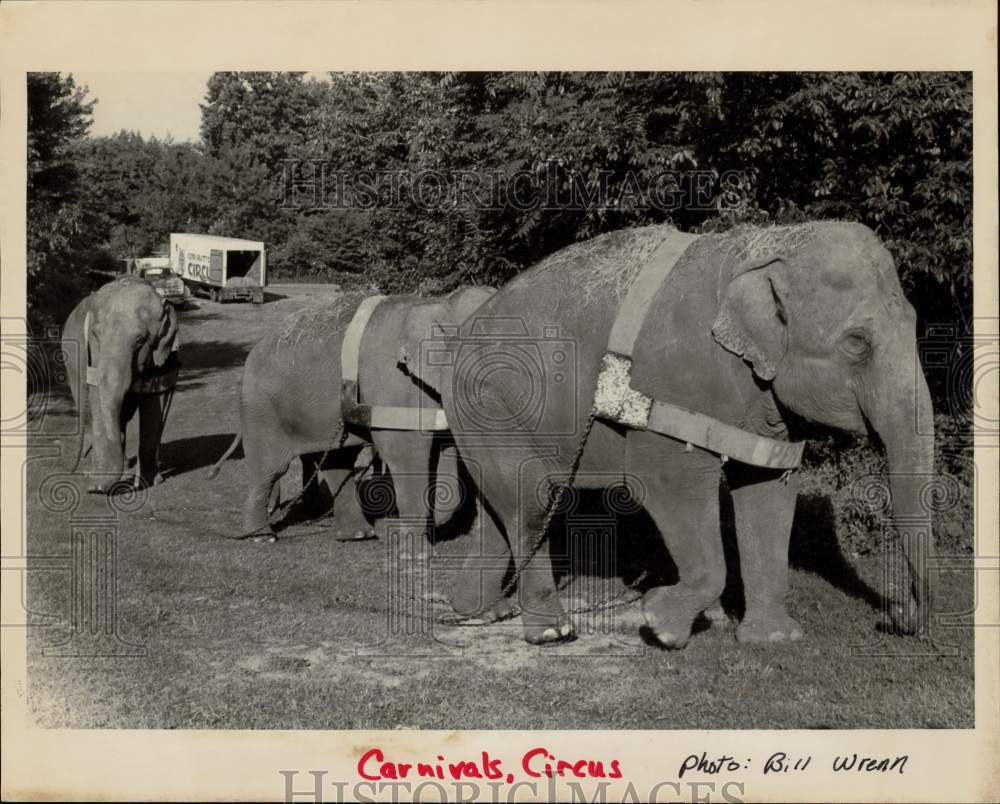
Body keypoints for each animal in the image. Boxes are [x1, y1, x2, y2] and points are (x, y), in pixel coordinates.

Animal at [61, 274, 181, 490]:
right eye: (96, 336)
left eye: (140, 341)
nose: (92, 488)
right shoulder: (91, 358)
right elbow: (97, 401)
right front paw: (97, 479)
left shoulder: (165, 358)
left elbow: (155, 403)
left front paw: (151, 481)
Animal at [211, 286, 496, 544]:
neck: (441, 303)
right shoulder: (393, 385)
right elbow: (406, 453)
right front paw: (415, 543)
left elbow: (445, 453)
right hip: (261, 407)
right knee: (270, 469)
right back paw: (262, 537)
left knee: (338, 460)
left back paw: (358, 535)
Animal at [440, 221, 936, 648]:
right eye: (857, 343)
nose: (897, 616)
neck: (766, 247)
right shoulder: (672, 383)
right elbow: (669, 482)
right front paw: (660, 623)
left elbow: (768, 490)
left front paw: (774, 638)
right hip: (486, 403)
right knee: (531, 501)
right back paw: (552, 633)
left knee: (501, 508)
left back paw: (480, 612)